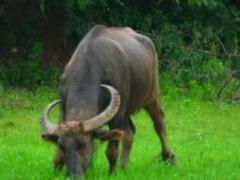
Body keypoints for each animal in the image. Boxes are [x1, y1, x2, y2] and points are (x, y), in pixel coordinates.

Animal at [40, 25, 174, 177]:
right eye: (62, 146)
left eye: (83, 144)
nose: (74, 175)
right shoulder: (63, 109)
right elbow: (58, 156)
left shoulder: (117, 116)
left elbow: (111, 151)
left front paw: (112, 173)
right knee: (130, 132)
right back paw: (123, 166)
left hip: (151, 95)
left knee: (159, 122)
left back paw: (168, 157)